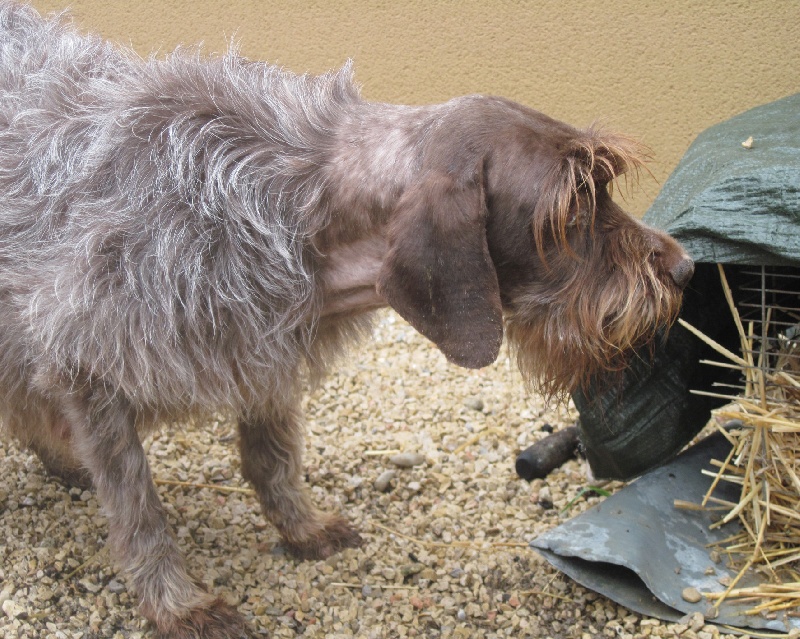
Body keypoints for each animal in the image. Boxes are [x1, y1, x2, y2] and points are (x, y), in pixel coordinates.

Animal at [0, 2, 692, 636]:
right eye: (569, 211)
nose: (685, 271)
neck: (291, 203)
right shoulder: (90, 368)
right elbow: (139, 510)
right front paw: (176, 604)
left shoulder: (264, 350)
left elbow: (273, 459)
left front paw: (300, 527)